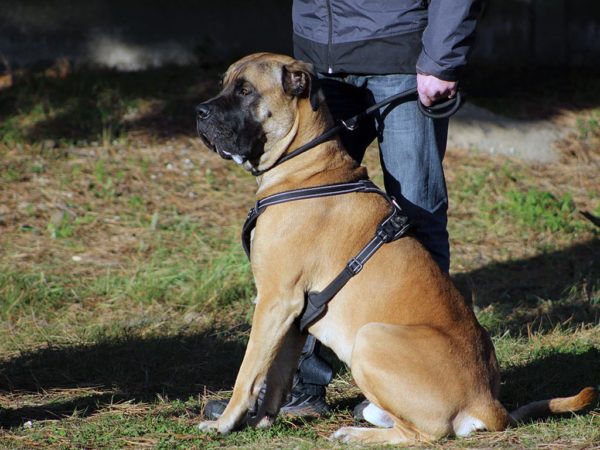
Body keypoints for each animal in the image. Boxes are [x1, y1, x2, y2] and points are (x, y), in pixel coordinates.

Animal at [196, 52, 596, 442]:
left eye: (246, 91)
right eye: (225, 84)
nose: (199, 112)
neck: (309, 169)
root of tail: (487, 402)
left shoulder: (275, 300)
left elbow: (248, 372)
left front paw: (225, 423)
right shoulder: (292, 317)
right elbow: (275, 374)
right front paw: (261, 420)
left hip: (370, 338)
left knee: (422, 434)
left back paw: (355, 434)